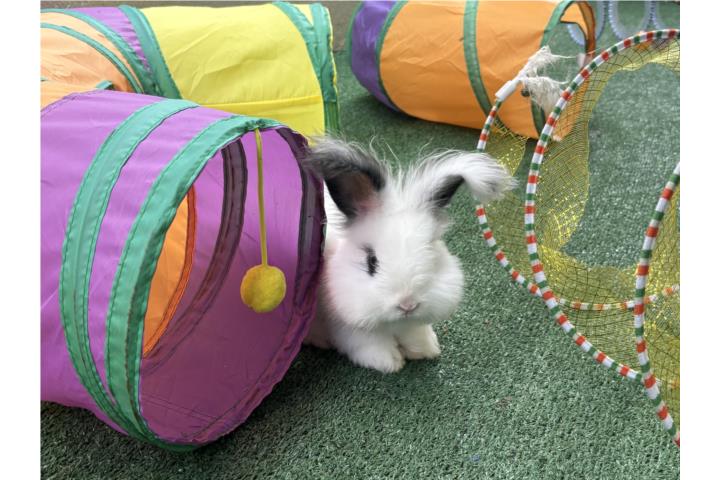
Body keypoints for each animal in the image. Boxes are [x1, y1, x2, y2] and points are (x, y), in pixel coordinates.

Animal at [302, 137, 514, 373]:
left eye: (432, 253)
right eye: (371, 262)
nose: (407, 305)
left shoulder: (412, 325)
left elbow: (415, 335)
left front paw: (426, 350)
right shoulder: (351, 329)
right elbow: (371, 345)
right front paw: (391, 363)